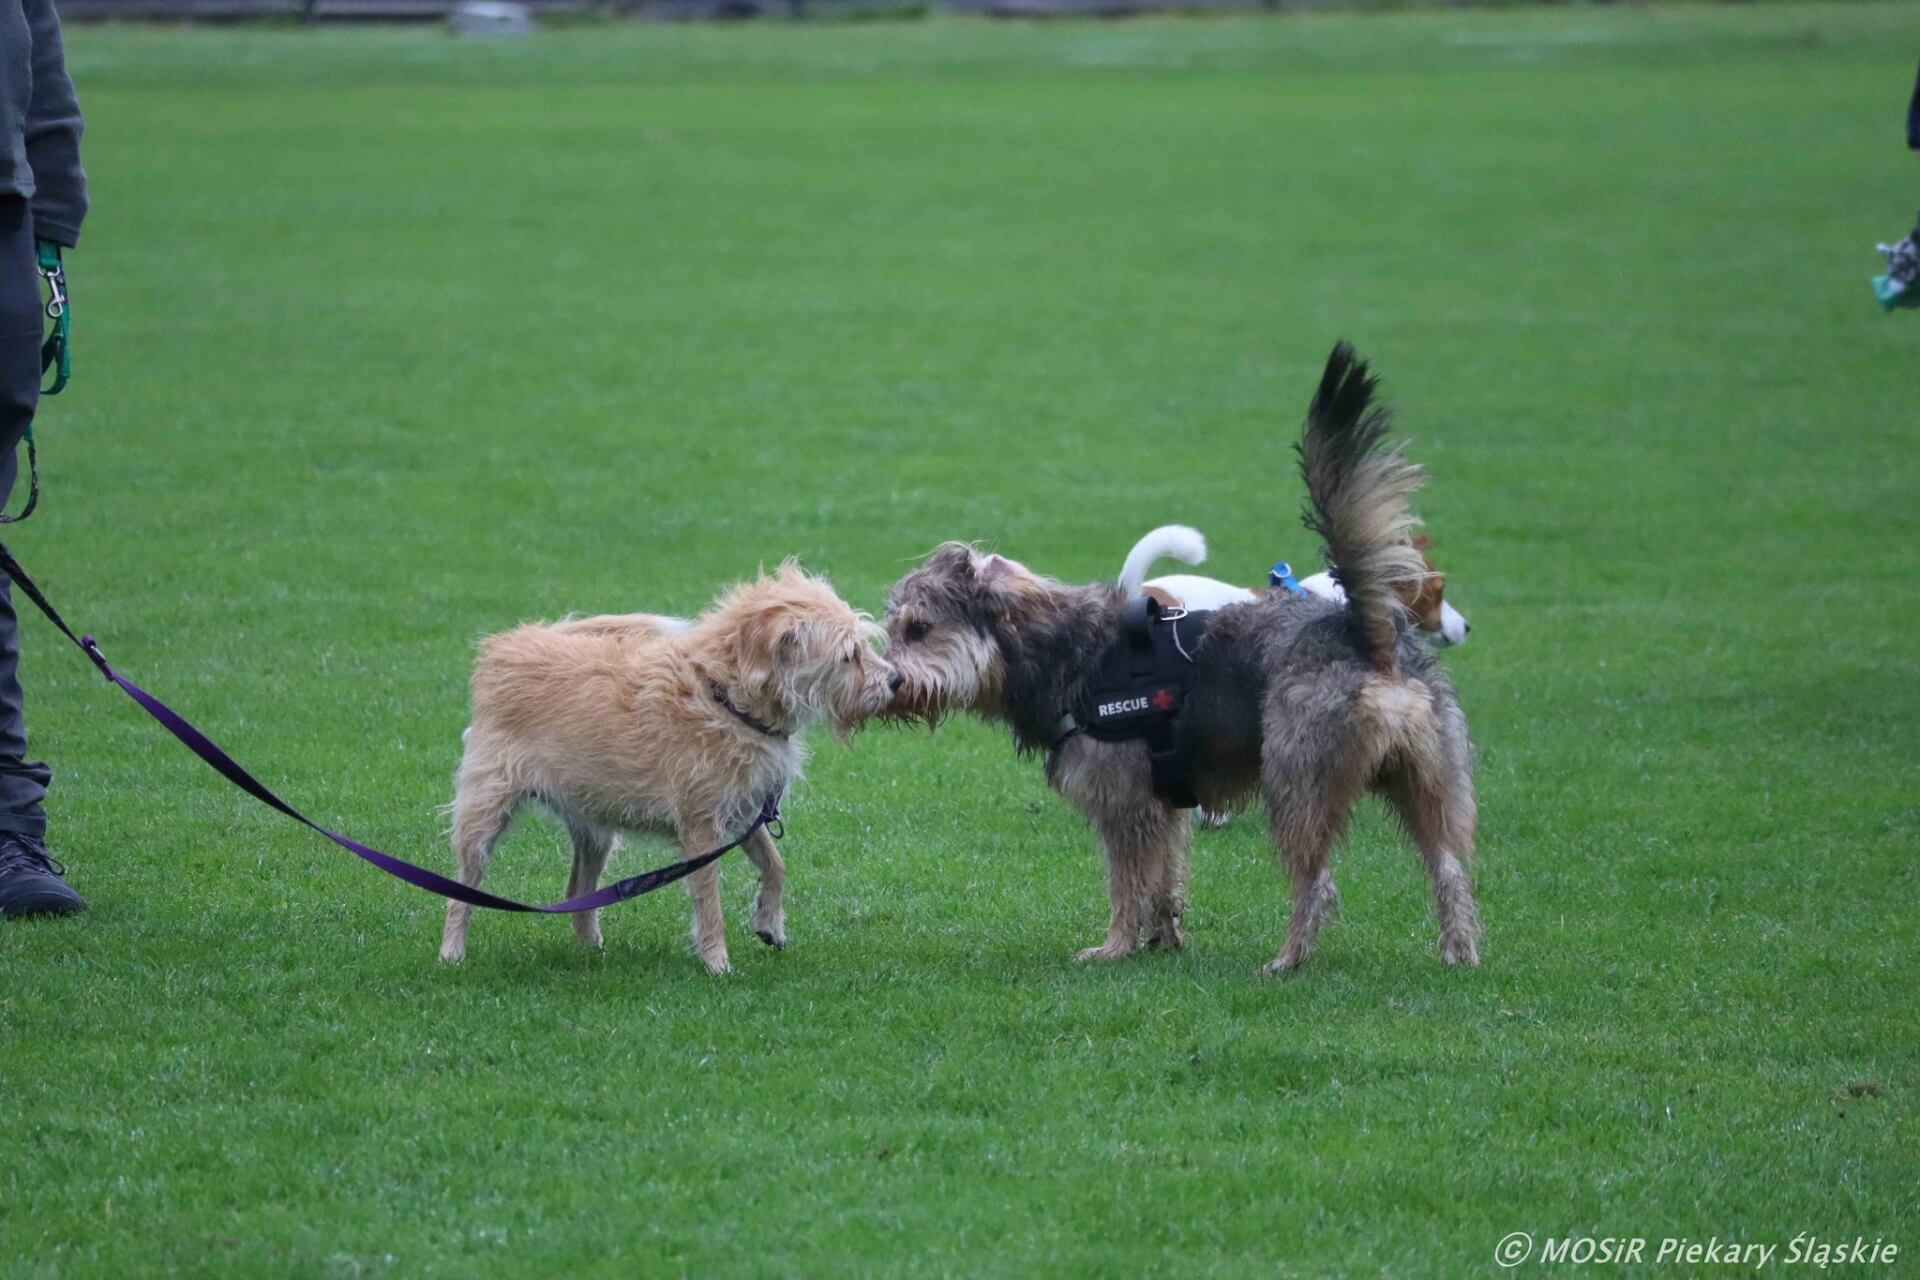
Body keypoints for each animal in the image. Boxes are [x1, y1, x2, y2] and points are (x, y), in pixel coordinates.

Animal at [441, 564, 898, 974]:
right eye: (848, 655)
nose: (895, 682)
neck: (725, 698)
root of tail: (509, 644)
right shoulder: (700, 830)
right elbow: (709, 902)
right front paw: (717, 964)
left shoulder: (744, 812)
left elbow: (775, 865)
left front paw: (770, 923)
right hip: (485, 808)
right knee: (462, 887)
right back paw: (451, 952)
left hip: (592, 824)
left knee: (579, 889)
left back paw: (592, 949)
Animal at [883, 345, 1482, 974]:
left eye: (919, 628)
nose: (891, 680)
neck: (1069, 649)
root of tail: (1363, 632)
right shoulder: (1162, 806)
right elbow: (1164, 879)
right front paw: (1163, 938)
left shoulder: (1124, 803)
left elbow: (1127, 883)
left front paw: (1115, 946)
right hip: (1427, 783)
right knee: (1449, 870)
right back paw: (1459, 952)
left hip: (1298, 785)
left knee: (1317, 883)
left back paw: (1288, 959)